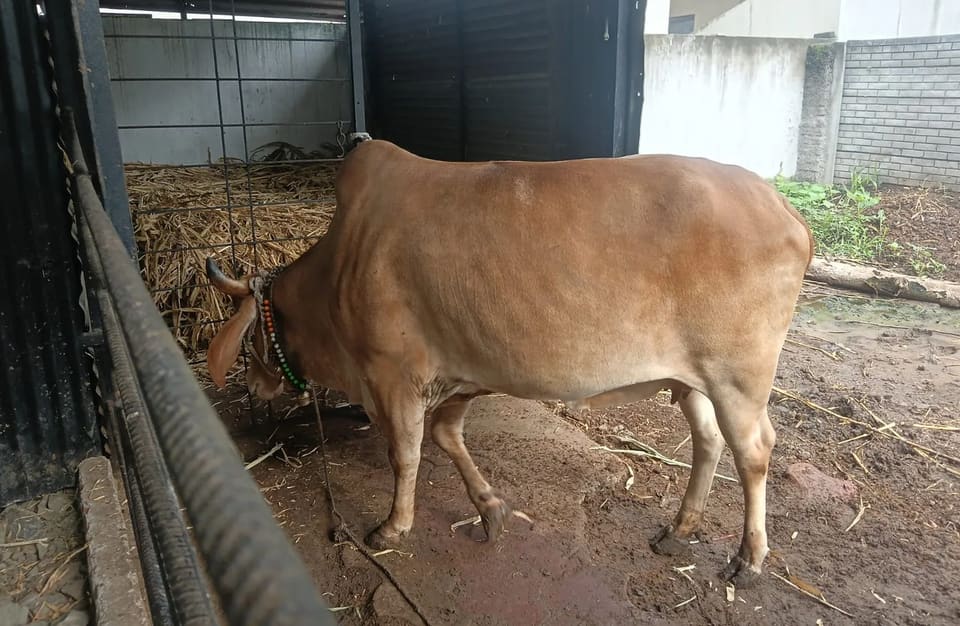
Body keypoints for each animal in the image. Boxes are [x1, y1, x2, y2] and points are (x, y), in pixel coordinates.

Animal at [205, 139, 813, 587]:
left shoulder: (394, 375)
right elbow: (447, 438)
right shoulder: (458, 377)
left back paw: (748, 559)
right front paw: (490, 508)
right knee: (708, 441)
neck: (341, 263)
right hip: (694, 380)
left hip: (739, 378)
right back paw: (680, 528)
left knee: (754, 451)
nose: (253, 384)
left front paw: (393, 526)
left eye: (252, 335)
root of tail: (785, 209)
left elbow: (405, 453)